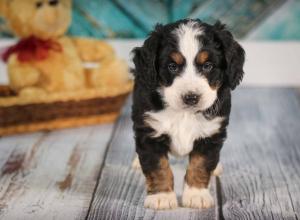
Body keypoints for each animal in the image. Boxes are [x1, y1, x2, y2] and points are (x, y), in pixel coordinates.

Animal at [131, 19, 244, 211]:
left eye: (208, 66)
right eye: (172, 66)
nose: (191, 97)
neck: (184, 114)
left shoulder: (210, 135)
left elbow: (200, 165)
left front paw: (197, 195)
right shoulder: (149, 132)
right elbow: (157, 166)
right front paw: (161, 197)